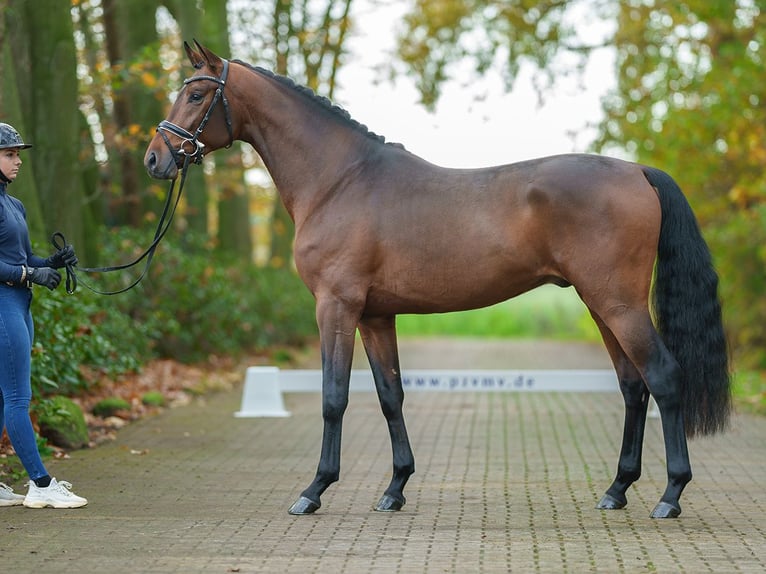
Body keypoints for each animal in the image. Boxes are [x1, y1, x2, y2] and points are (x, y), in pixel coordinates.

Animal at [146, 39, 732, 516]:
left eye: (196, 95)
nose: (156, 159)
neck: (339, 180)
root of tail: (638, 171)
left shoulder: (335, 305)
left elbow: (335, 395)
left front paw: (314, 491)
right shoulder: (375, 314)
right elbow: (390, 395)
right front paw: (395, 489)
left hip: (619, 304)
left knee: (664, 378)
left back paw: (670, 495)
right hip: (601, 305)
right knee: (633, 387)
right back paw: (616, 490)